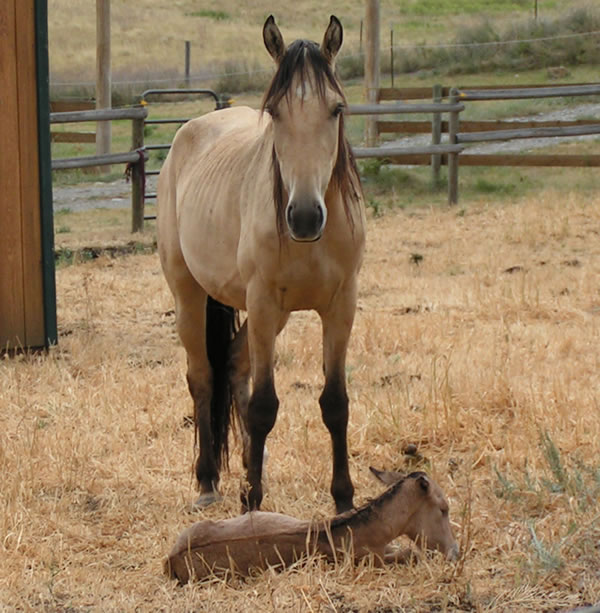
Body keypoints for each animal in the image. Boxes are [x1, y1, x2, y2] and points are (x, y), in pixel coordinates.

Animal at [157, 14, 366, 512]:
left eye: (336, 109)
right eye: (274, 112)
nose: (305, 216)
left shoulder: (340, 306)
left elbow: (335, 402)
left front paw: (344, 500)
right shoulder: (265, 303)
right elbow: (264, 405)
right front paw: (251, 501)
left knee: (234, 367)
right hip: (190, 296)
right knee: (202, 376)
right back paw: (209, 482)